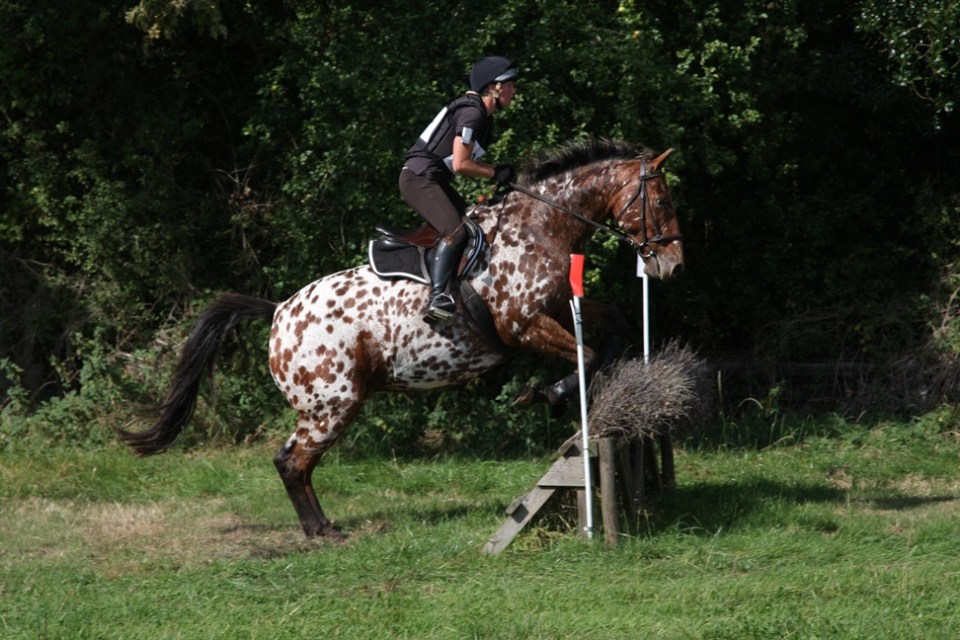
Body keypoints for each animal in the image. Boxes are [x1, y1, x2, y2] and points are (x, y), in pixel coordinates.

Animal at [117, 138, 685, 538]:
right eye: (660, 199)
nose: (673, 265)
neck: (539, 226)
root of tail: (278, 312)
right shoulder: (523, 326)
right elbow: (584, 353)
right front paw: (545, 394)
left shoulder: (560, 306)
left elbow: (615, 326)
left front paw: (567, 392)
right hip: (333, 404)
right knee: (292, 462)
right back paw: (323, 531)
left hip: (325, 406)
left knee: (291, 461)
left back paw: (319, 526)